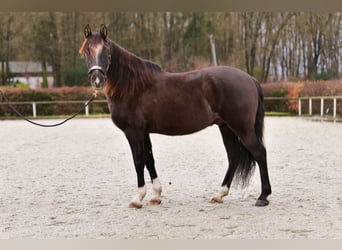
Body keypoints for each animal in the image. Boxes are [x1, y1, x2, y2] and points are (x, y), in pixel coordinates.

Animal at [80, 24, 272, 209]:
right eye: (87, 50)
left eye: (106, 50)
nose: (97, 80)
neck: (132, 87)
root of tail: (250, 79)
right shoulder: (144, 132)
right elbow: (149, 159)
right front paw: (156, 196)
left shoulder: (133, 131)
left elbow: (138, 161)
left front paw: (138, 198)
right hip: (226, 127)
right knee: (233, 157)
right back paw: (219, 194)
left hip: (241, 128)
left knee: (259, 153)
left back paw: (263, 197)